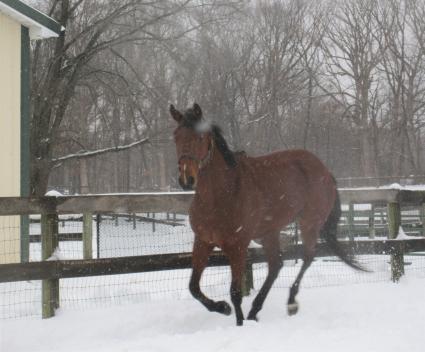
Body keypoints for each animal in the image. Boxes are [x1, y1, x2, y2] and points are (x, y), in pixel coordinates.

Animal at [171, 103, 362, 326]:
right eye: (176, 136)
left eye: (200, 137)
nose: (187, 179)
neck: (221, 195)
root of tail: (325, 171)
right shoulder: (203, 241)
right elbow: (194, 287)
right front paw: (222, 307)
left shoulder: (237, 246)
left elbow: (235, 292)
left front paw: (238, 321)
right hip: (270, 232)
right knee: (276, 265)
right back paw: (255, 310)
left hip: (309, 223)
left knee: (306, 257)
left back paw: (291, 303)